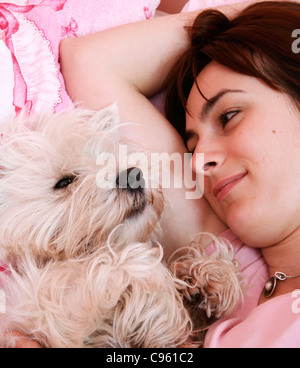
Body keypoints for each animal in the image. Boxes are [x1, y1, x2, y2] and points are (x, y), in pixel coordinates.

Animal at [0, 104, 243, 348]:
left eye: (109, 157)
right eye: (64, 182)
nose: (132, 175)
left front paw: (208, 276)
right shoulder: (45, 314)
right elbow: (124, 267)